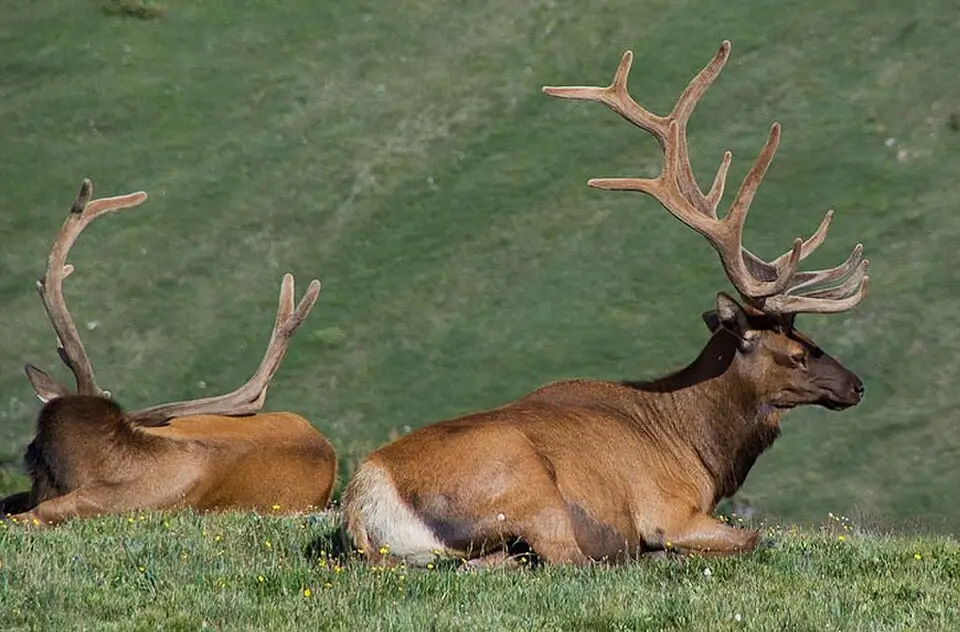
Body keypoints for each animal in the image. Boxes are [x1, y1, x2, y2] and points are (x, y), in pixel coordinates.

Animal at [342, 40, 869, 566]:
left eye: (810, 338)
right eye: (798, 354)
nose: (857, 385)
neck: (699, 450)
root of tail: (366, 505)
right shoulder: (668, 508)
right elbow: (755, 537)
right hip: (531, 490)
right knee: (566, 559)